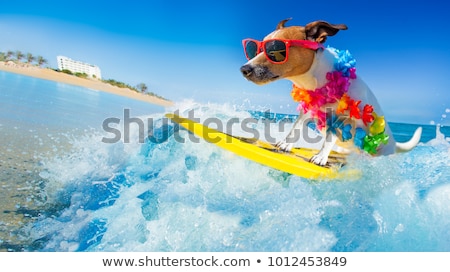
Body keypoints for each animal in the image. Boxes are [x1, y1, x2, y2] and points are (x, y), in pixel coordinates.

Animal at [241, 18, 420, 166]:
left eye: (275, 49)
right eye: (256, 49)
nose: (244, 69)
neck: (318, 79)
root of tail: (394, 142)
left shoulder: (344, 117)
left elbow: (329, 138)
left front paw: (321, 157)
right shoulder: (308, 110)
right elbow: (296, 127)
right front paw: (286, 144)